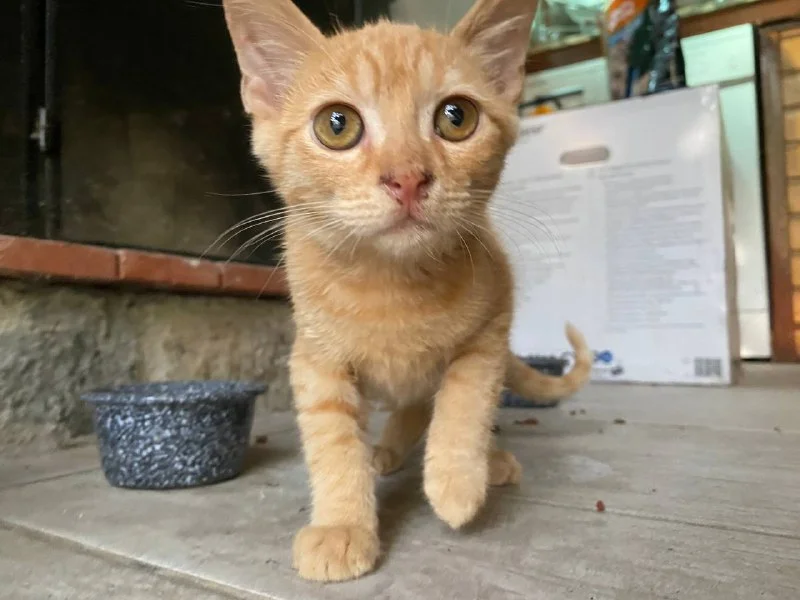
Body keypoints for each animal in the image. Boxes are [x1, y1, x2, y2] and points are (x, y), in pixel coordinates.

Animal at [222, 0, 592, 582]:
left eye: (456, 117)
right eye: (337, 125)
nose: (408, 178)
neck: (391, 286)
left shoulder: (491, 328)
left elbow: (465, 399)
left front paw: (457, 482)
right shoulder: (314, 358)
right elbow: (331, 439)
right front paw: (342, 525)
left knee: (429, 403)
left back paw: (486, 463)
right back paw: (387, 452)